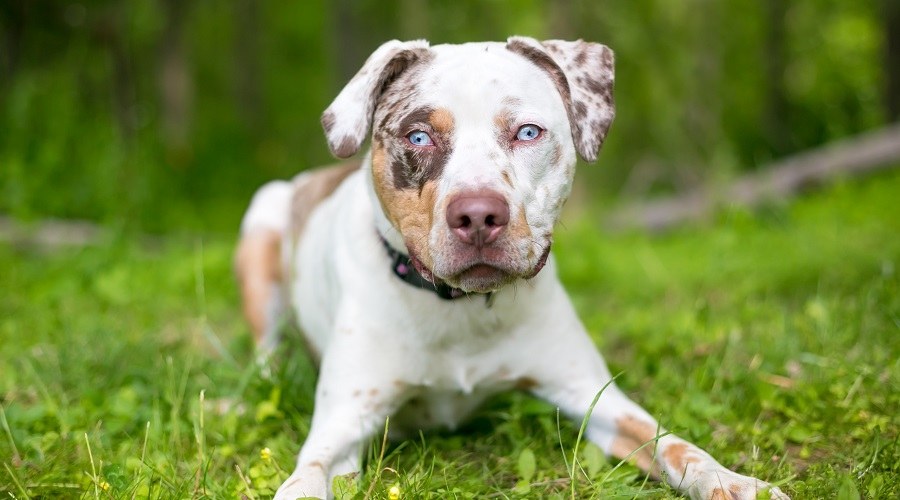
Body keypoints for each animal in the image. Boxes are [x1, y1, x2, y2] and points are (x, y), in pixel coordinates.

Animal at [234, 37, 788, 498]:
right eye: (418, 137)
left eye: (527, 131)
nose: (478, 215)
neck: (460, 311)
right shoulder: (341, 427)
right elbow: (306, 478)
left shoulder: (595, 396)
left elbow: (674, 444)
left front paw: (734, 481)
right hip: (261, 218)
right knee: (265, 354)